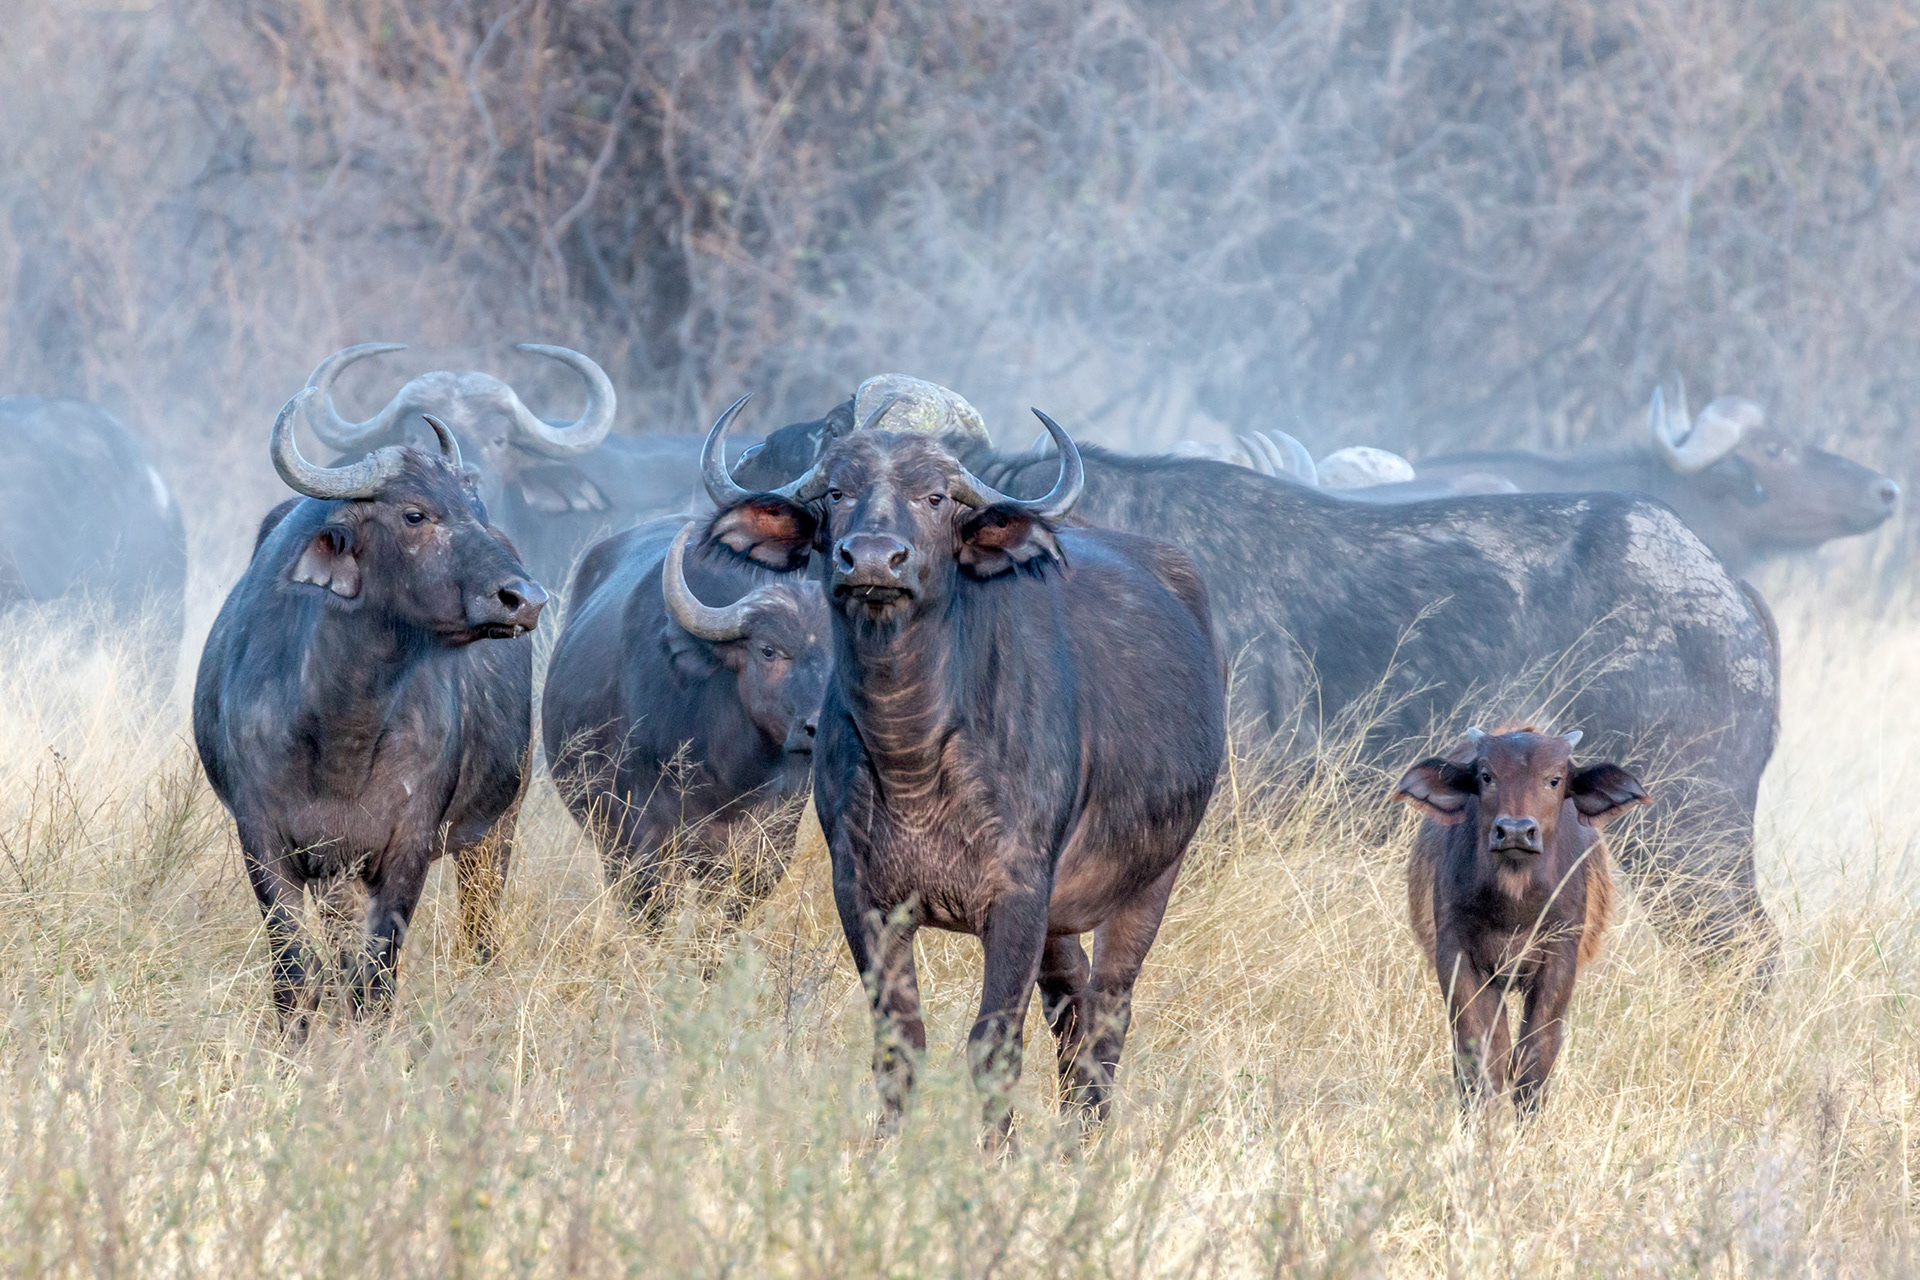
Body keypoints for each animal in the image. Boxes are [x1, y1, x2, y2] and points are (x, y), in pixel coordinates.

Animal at [194, 389, 546, 1034]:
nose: (524, 599)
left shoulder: (408, 847)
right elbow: (296, 972)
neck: (340, 728)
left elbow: (376, 975)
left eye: (475, 508)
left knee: (481, 924)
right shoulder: (265, 843)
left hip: (497, 824)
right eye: (415, 515)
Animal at [702, 399, 1226, 1141]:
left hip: (1152, 876)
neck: (915, 752)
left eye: (936, 497)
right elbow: (899, 1042)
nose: (872, 559)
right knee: (1072, 1004)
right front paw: (887, 1148)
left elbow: (993, 1044)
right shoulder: (863, 896)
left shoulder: (1019, 896)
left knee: (1108, 1011)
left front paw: (994, 1154)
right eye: (835, 491)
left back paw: (1089, 1136)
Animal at [1397, 727, 1648, 1114]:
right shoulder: (1457, 956)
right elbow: (1477, 1051)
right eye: (1487, 776)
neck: (1514, 906)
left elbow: (1536, 1053)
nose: (1515, 831)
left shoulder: (1560, 958)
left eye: (1554, 779)